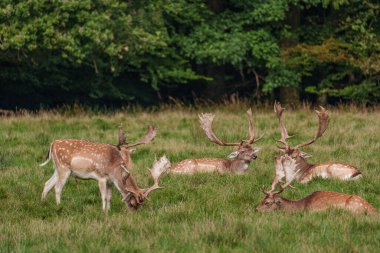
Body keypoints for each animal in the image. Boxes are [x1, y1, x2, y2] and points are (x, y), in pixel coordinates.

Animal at [40, 126, 171, 211]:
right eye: (133, 202)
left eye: (140, 205)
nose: (133, 213)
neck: (114, 168)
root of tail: (52, 144)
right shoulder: (101, 177)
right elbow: (103, 196)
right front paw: (103, 211)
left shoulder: (110, 181)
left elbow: (109, 197)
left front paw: (108, 210)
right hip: (64, 168)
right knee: (57, 187)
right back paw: (59, 206)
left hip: (57, 168)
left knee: (47, 184)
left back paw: (43, 203)